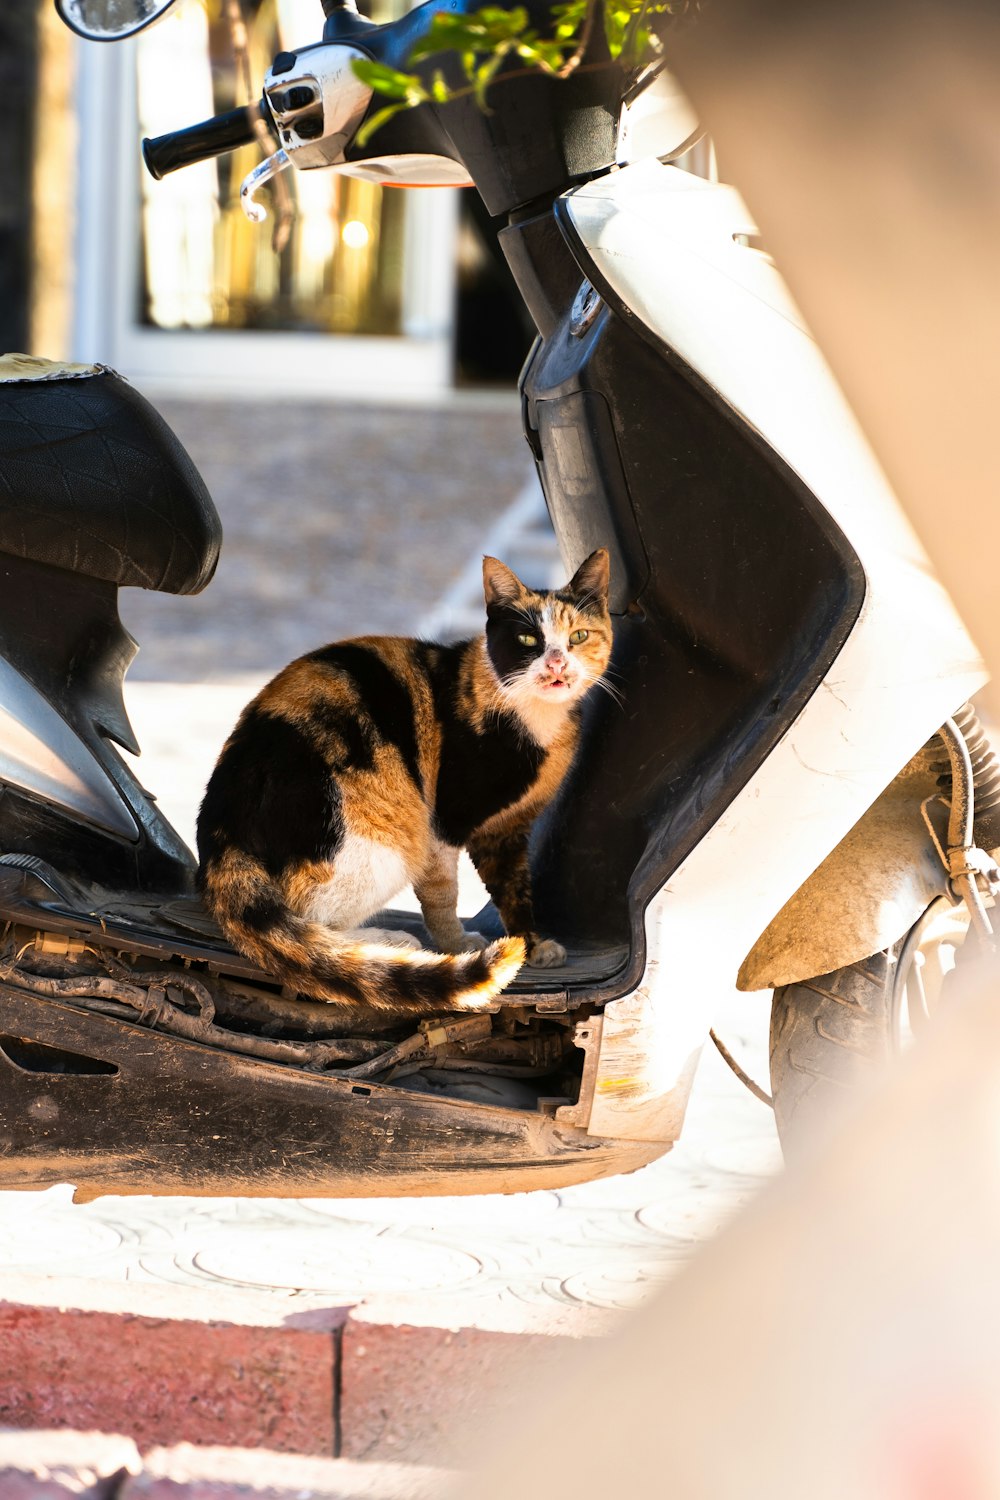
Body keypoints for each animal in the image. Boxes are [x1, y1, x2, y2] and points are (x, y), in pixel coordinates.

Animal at [197, 546, 611, 1014]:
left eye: (578, 636)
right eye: (528, 640)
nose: (557, 661)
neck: (537, 722)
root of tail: (222, 834)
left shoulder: (507, 831)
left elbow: (515, 888)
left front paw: (533, 943)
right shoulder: (444, 821)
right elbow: (441, 894)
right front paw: (456, 945)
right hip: (388, 839)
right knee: (312, 923)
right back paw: (390, 944)